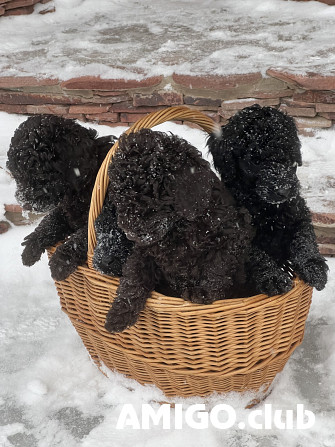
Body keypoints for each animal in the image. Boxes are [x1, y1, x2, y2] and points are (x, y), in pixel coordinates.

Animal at [6, 115, 131, 282]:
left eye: (41, 175)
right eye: (17, 175)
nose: (24, 203)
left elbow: (81, 238)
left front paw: (60, 263)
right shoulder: (66, 211)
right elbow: (50, 222)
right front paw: (30, 248)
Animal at [100, 130, 255, 332]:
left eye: (151, 194)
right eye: (119, 196)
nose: (129, 231)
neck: (178, 226)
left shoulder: (233, 232)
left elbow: (217, 265)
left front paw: (203, 291)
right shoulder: (145, 250)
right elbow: (133, 276)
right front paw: (119, 314)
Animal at [209, 103, 330, 296]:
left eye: (289, 154)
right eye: (255, 161)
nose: (284, 190)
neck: (267, 208)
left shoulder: (299, 212)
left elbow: (304, 238)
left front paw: (314, 267)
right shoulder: (237, 235)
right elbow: (255, 255)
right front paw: (273, 278)